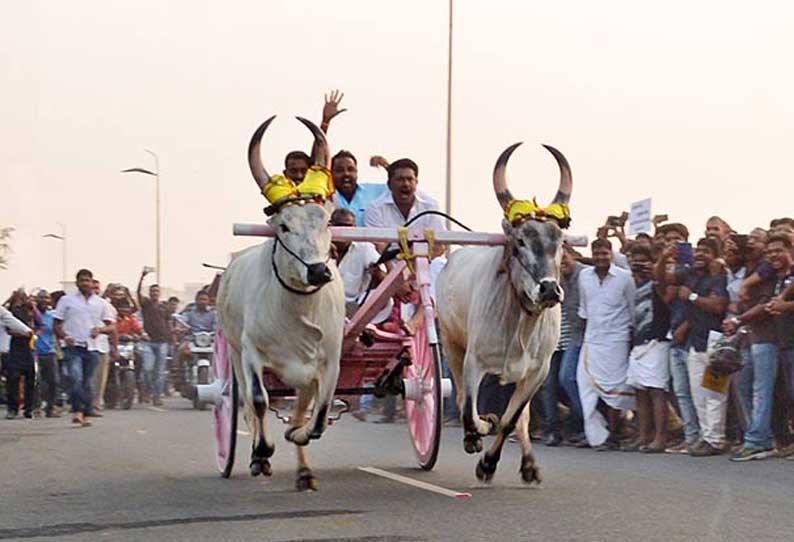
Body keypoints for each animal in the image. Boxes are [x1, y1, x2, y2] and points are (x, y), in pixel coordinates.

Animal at [217, 116, 344, 492]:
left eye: (327, 221)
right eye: (284, 226)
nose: (317, 271)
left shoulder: (329, 361)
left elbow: (318, 418)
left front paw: (296, 435)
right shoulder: (250, 352)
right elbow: (259, 401)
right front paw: (262, 453)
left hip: (302, 375)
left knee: (301, 409)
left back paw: (303, 471)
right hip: (233, 352)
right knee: (246, 403)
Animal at [436, 143, 572, 484]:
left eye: (560, 241)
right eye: (520, 240)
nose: (549, 289)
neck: (522, 321)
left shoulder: (538, 372)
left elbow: (513, 420)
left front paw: (489, 463)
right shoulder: (474, 362)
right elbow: (469, 412)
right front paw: (481, 430)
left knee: (520, 418)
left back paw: (529, 464)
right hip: (451, 343)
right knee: (461, 399)